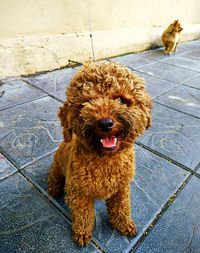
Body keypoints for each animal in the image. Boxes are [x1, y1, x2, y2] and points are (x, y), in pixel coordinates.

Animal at [48, 61, 152, 245]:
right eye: (86, 103)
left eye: (121, 100)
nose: (105, 123)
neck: (106, 161)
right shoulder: (78, 193)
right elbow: (83, 215)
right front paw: (82, 233)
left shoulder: (121, 189)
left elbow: (121, 208)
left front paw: (123, 223)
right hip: (57, 169)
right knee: (54, 179)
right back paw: (54, 189)